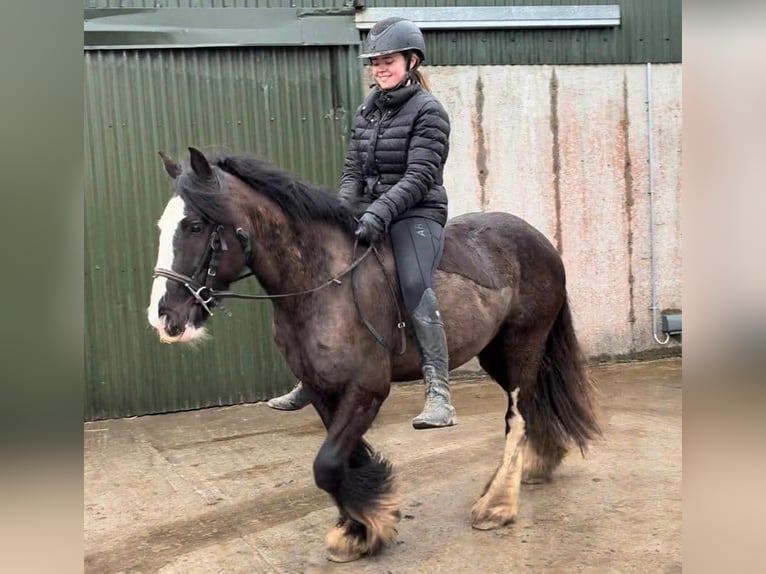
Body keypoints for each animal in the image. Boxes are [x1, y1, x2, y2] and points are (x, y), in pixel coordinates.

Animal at [146, 146, 600, 562]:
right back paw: (538, 464)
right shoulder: (323, 391)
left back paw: (497, 504)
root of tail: (539, 240)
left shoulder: (367, 389)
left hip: (523, 342)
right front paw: (358, 528)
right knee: (531, 402)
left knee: (517, 415)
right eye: (162, 226)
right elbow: (342, 460)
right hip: (495, 352)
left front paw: (370, 524)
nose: (164, 317)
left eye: (194, 225)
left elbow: (327, 464)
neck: (322, 283)